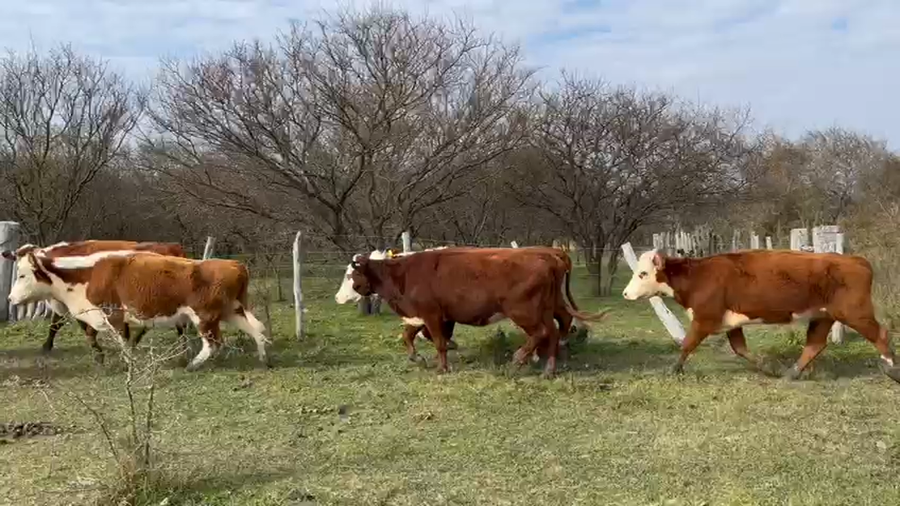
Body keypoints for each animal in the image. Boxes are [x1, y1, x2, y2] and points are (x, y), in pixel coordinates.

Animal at [7, 250, 270, 371]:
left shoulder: (113, 315)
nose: (10, 298)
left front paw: (130, 365)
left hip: (204, 317)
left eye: (22, 275)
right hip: (231, 311)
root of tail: (234, 264)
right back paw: (263, 359)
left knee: (213, 343)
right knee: (257, 330)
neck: (86, 274)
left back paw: (192, 365)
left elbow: (123, 342)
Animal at [347, 246, 610, 377]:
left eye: (354, 272)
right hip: (545, 307)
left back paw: (520, 358)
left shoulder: (432, 314)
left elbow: (439, 342)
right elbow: (408, 335)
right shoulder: (425, 314)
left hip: (523, 311)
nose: (355, 288)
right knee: (555, 329)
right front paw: (416, 357)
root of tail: (549, 257)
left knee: (543, 332)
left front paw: (442, 368)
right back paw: (549, 367)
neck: (403, 273)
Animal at [622, 248, 900, 383]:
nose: (625, 293)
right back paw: (791, 374)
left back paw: (891, 368)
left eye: (643, 273)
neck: (698, 276)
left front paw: (673, 369)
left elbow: (687, 345)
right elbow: (740, 349)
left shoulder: (705, 319)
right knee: (814, 344)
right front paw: (769, 367)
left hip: (855, 312)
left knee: (881, 334)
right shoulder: (729, 322)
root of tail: (856, 260)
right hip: (823, 316)